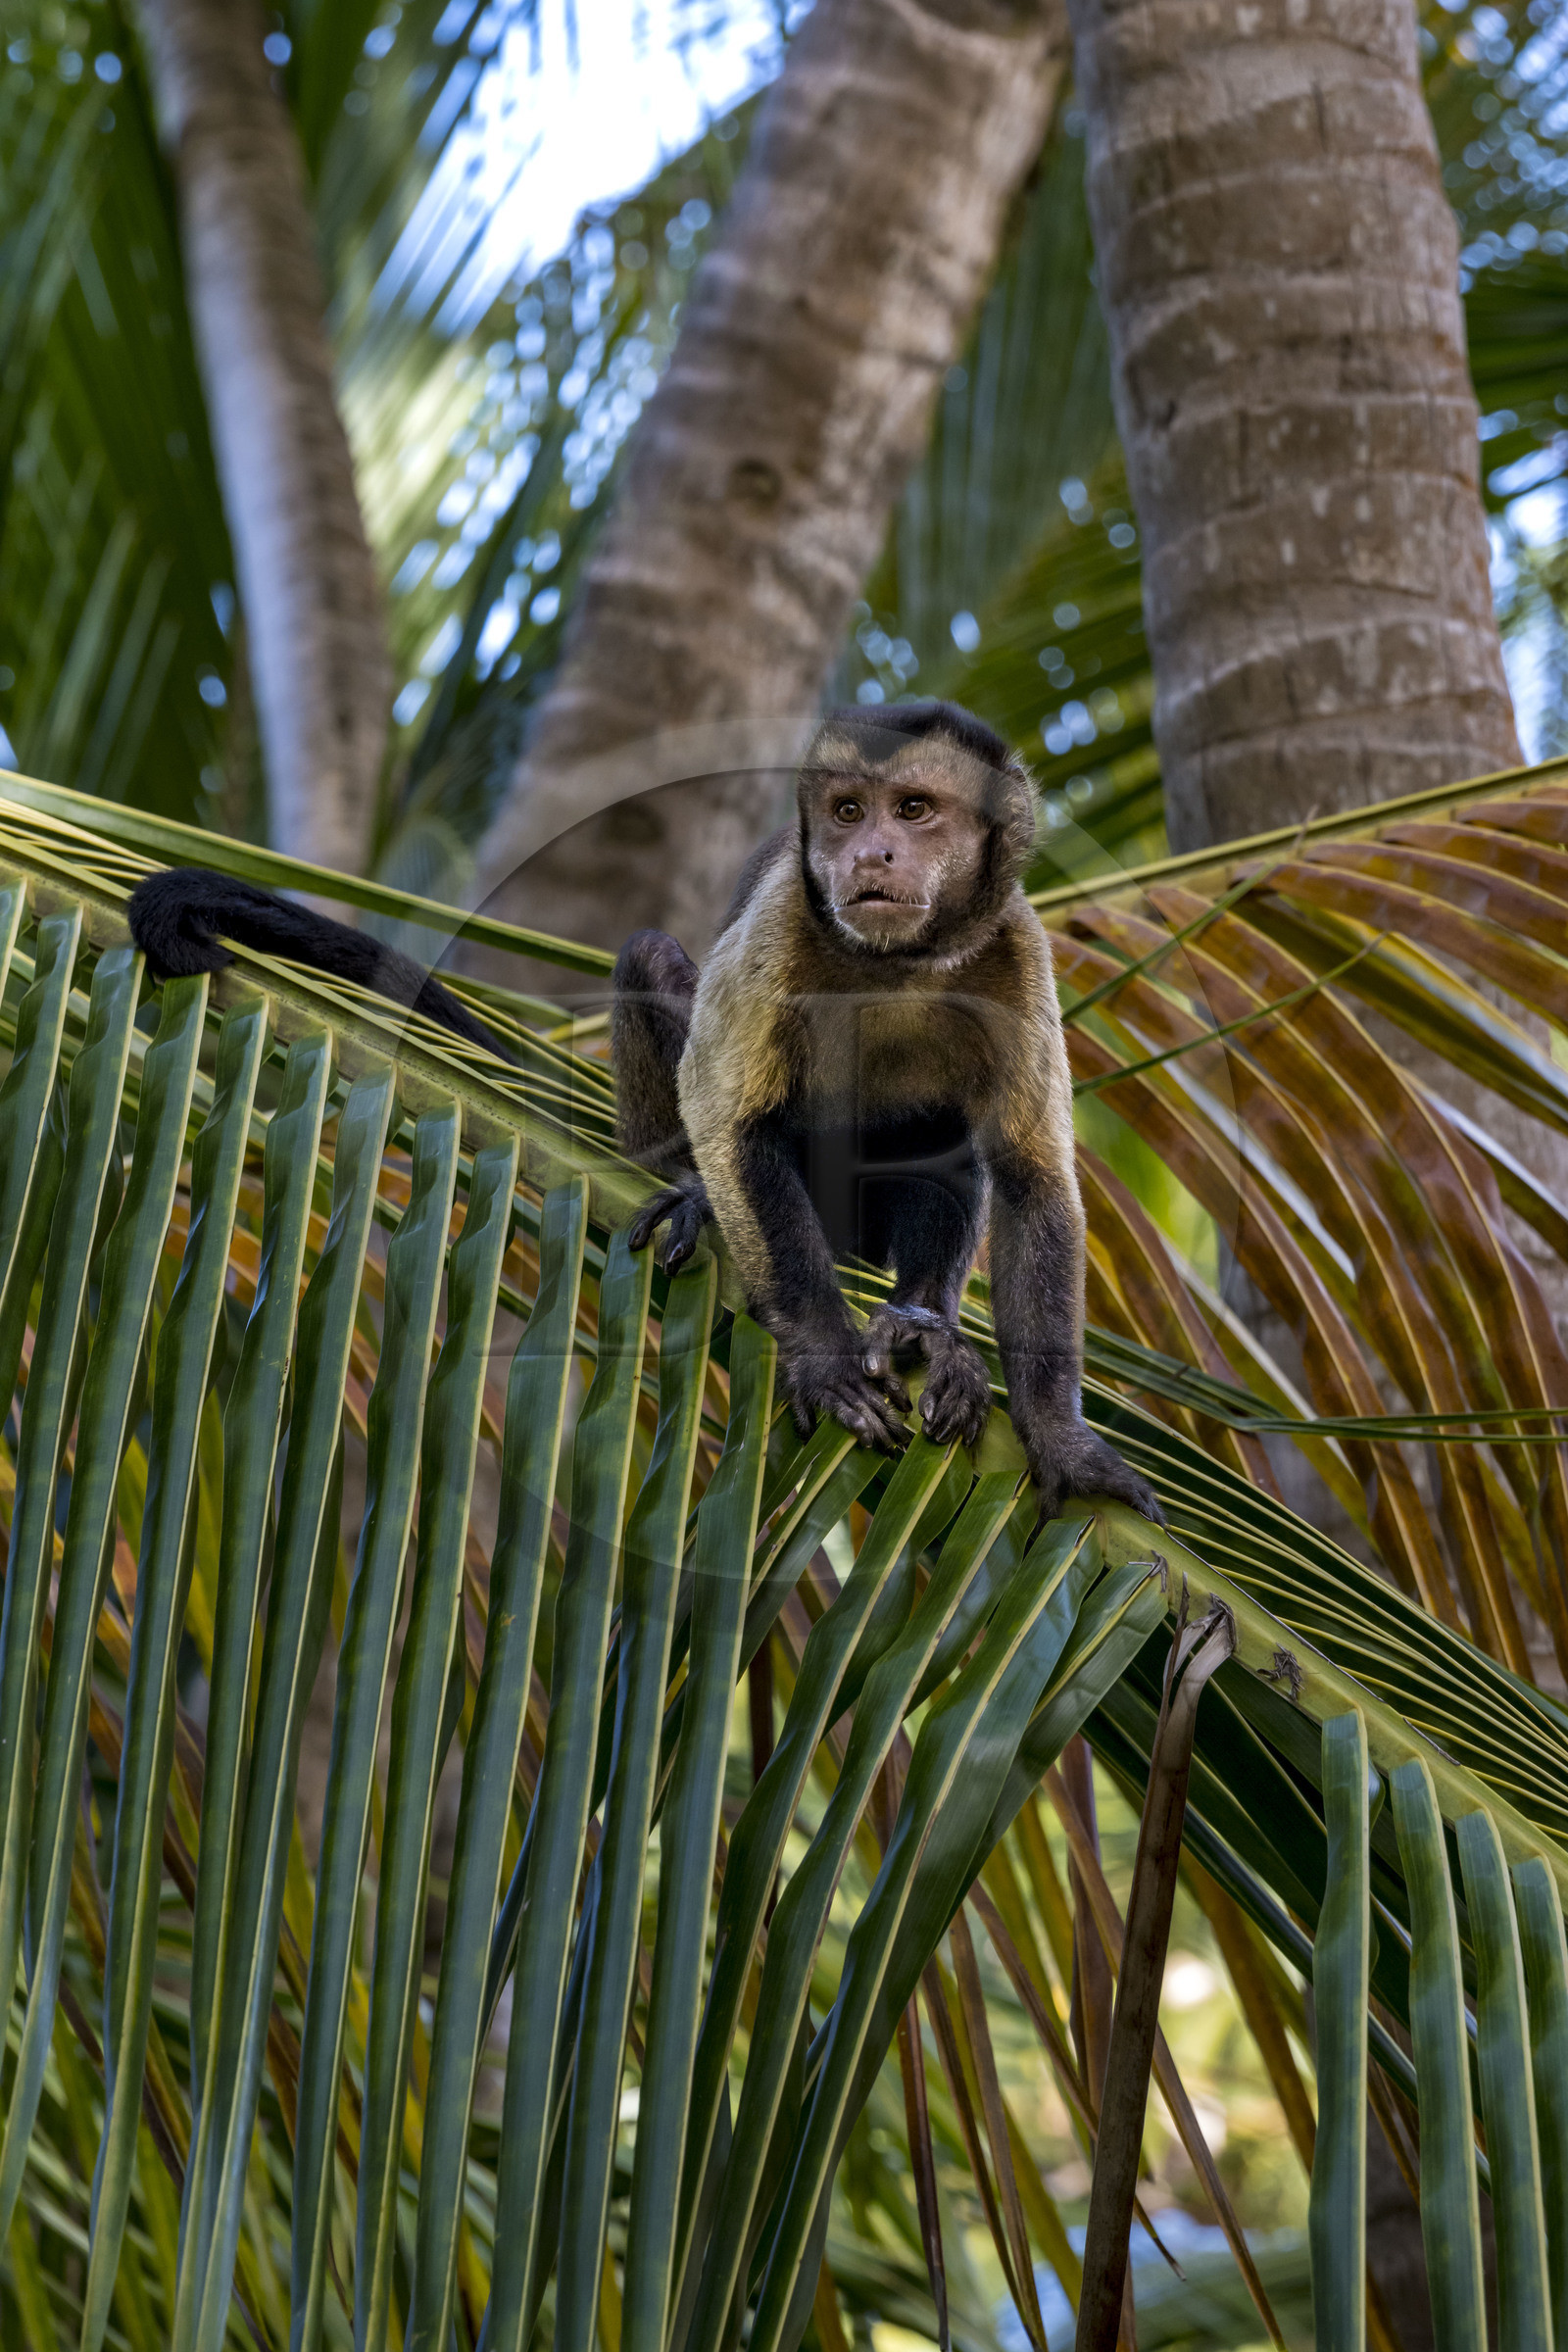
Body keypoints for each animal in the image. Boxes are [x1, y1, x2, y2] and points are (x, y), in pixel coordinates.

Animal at [612, 700, 1162, 1525]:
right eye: (848, 812)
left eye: (913, 810)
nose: (871, 854)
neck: (899, 963)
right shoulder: (783, 917)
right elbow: (731, 1122)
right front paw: (822, 1353)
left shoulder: (1018, 946)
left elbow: (1033, 1178)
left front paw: (1060, 1438)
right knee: (647, 958)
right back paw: (697, 1195)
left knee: (949, 1132)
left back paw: (923, 1324)